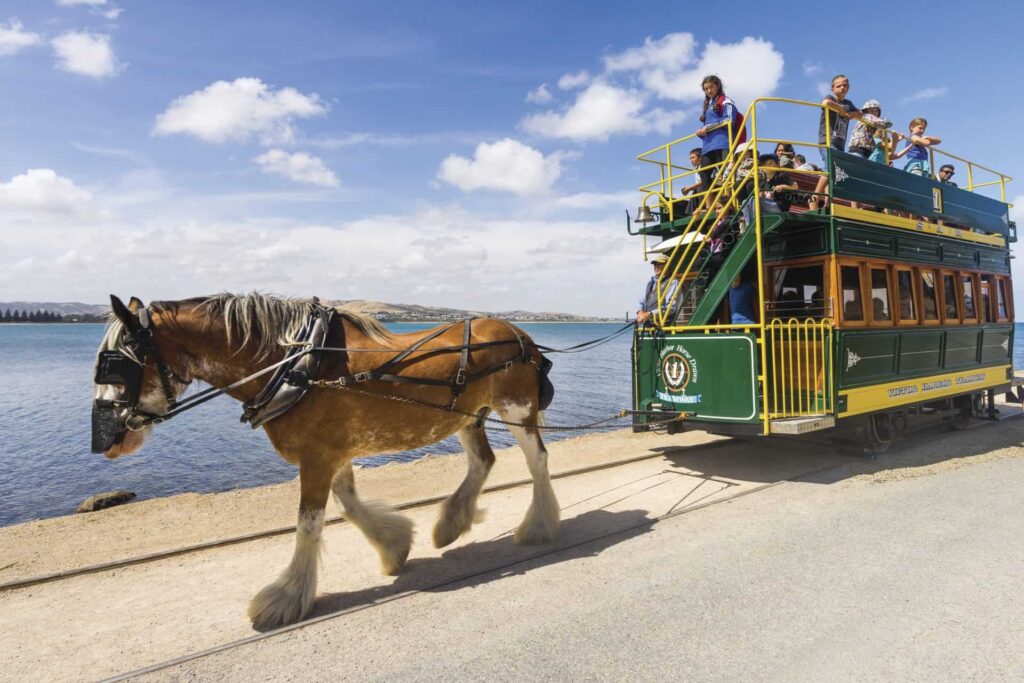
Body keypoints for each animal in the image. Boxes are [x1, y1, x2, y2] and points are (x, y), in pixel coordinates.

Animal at [94, 290, 561, 626]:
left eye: (115, 365)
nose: (104, 441)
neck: (295, 365)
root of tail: (521, 336)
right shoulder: (330, 451)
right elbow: (349, 505)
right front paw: (393, 546)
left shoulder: (318, 456)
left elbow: (309, 524)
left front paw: (286, 597)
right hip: (466, 416)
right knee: (483, 461)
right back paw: (451, 522)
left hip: (517, 409)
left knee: (537, 460)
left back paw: (538, 525)